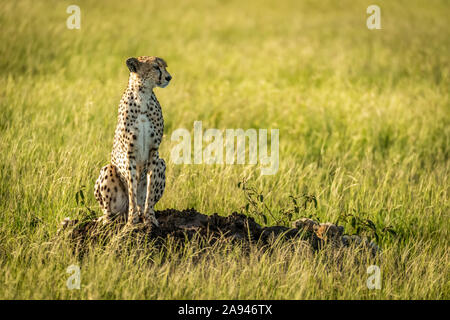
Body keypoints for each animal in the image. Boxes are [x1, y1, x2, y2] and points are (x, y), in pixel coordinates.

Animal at [94, 56, 171, 226]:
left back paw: (142, 213)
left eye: (165, 66)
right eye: (156, 67)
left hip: (162, 163)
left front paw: (150, 219)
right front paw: (132, 221)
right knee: (109, 210)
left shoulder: (154, 152)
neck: (143, 96)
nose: (169, 77)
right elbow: (132, 189)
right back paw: (109, 220)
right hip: (108, 170)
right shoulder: (130, 153)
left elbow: (150, 188)